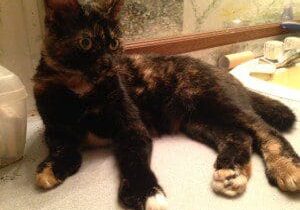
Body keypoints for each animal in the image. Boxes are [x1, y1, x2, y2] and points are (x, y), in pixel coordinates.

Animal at [33, 0, 300, 210]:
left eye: (114, 43)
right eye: (86, 42)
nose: (110, 63)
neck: (82, 92)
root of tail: (227, 74)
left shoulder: (132, 128)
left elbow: (134, 159)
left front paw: (146, 193)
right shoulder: (54, 129)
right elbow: (62, 149)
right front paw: (51, 168)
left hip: (220, 103)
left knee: (265, 131)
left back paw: (285, 168)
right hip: (200, 121)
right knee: (239, 136)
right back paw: (231, 175)